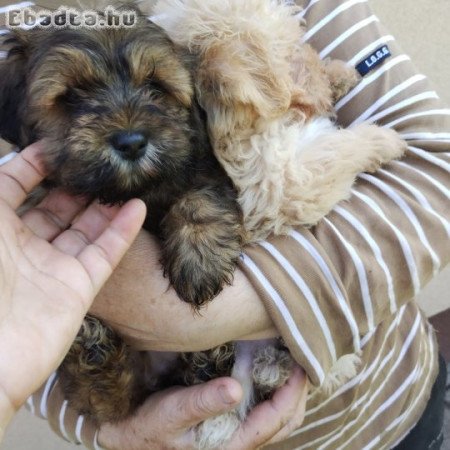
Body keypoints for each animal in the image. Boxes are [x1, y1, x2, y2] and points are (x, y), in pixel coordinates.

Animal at [0, 6, 244, 422]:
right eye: (72, 96)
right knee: (112, 401)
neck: (132, 190)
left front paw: (200, 261)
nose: (131, 142)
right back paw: (94, 350)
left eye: (155, 87)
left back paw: (208, 359)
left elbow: (201, 196)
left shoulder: (201, 165)